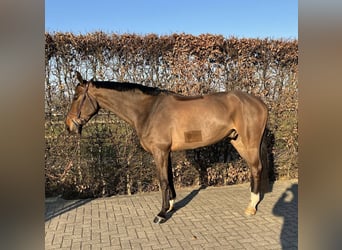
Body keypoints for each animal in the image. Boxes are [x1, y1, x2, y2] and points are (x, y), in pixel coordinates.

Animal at [65, 71, 270, 224]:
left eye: (75, 97)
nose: (68, 126)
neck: (148, 110)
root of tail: (260, 103)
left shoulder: (160, 152)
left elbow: (163, 181)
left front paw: (161, 214)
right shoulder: (166, 152)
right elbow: (169, 179)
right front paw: (170, 205)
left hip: (249, 143)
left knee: (256, 168)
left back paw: (251, 206)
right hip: (238, 141)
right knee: (254, 168)